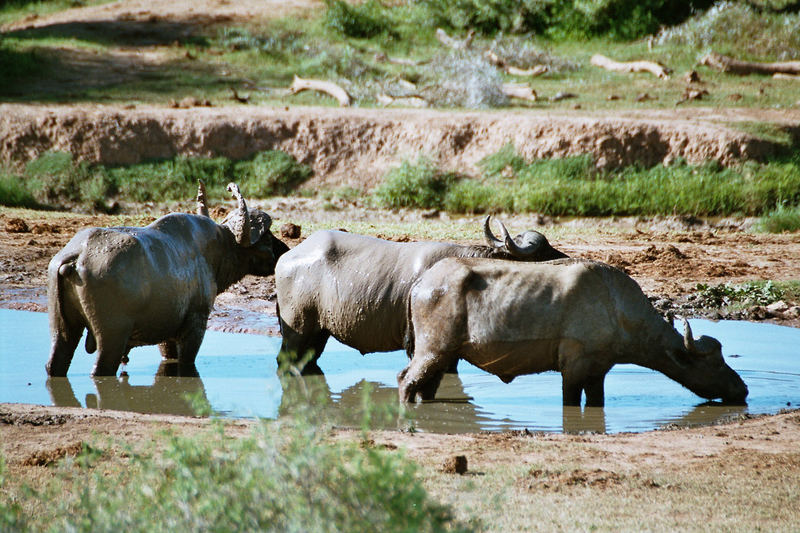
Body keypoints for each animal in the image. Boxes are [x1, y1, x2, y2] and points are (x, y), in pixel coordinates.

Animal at [45, 183, 290, 378]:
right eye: (267, 238)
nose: (285, 250)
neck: (216, 250)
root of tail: (77, 256)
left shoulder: (167, 330)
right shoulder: (196, 322)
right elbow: (187, 360)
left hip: (61, 327)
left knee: (55, 361)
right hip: (112, 336)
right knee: (101, 367)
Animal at [276, 216, 568, 374]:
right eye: (543, 250)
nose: (566, 259)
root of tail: (287, 258)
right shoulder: (417, 344)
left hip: (319, 331)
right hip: (297, 328)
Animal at [400, 256, 752, 404]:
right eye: (715, 363)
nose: (743, 389)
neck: (616, 308)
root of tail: (422, 283)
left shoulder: (598, 372)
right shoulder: (573, 368)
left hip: (445, 356)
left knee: (425, 387)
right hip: (433, 350)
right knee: (405, 381)